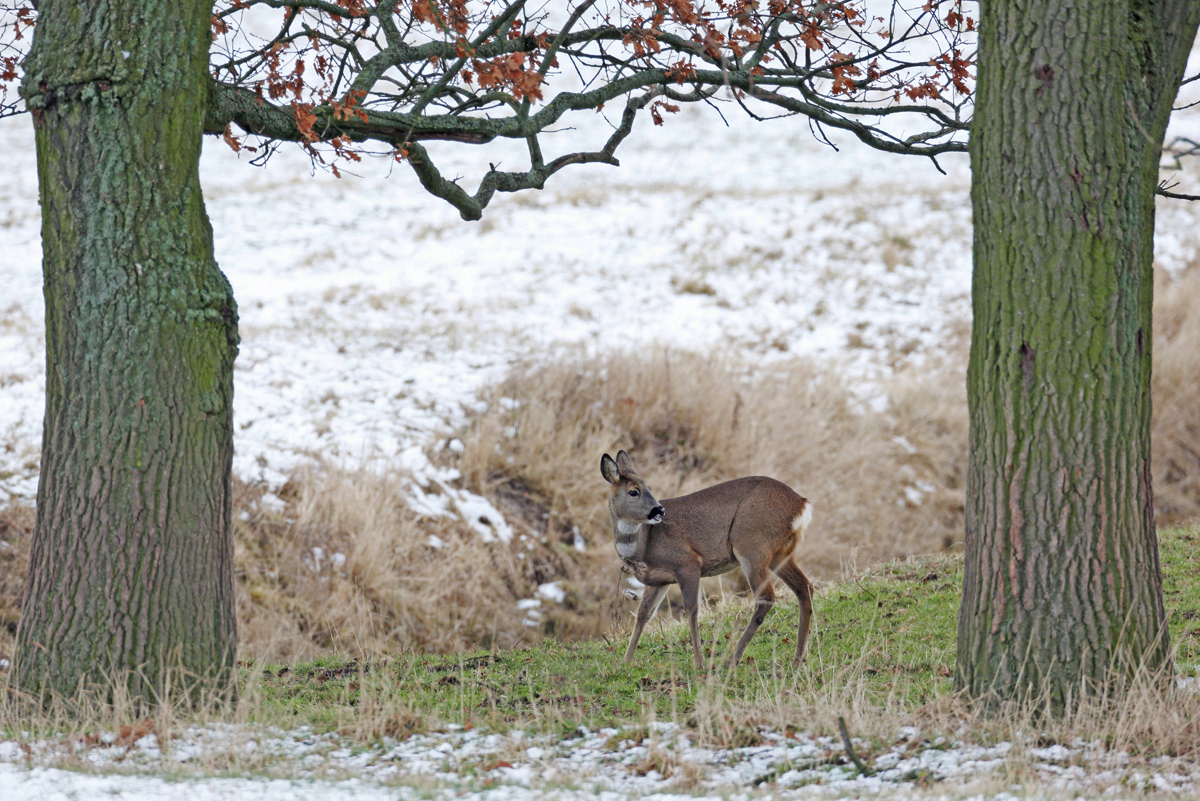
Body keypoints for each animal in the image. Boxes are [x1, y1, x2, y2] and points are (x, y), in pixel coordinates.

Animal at [600, 450, 816, 671]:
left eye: (648, 488)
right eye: (634, 491)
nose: (659, 510)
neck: (644, 544)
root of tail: (802, 505)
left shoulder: (687, 563)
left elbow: (692, 610)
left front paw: (699, 662)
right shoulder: (658, 580)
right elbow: (644, 614)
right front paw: (625, 662)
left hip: (751, 545)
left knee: (766, 597)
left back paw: (731, 660)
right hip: (779, 554)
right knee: (804, 587)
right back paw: (798, 658)